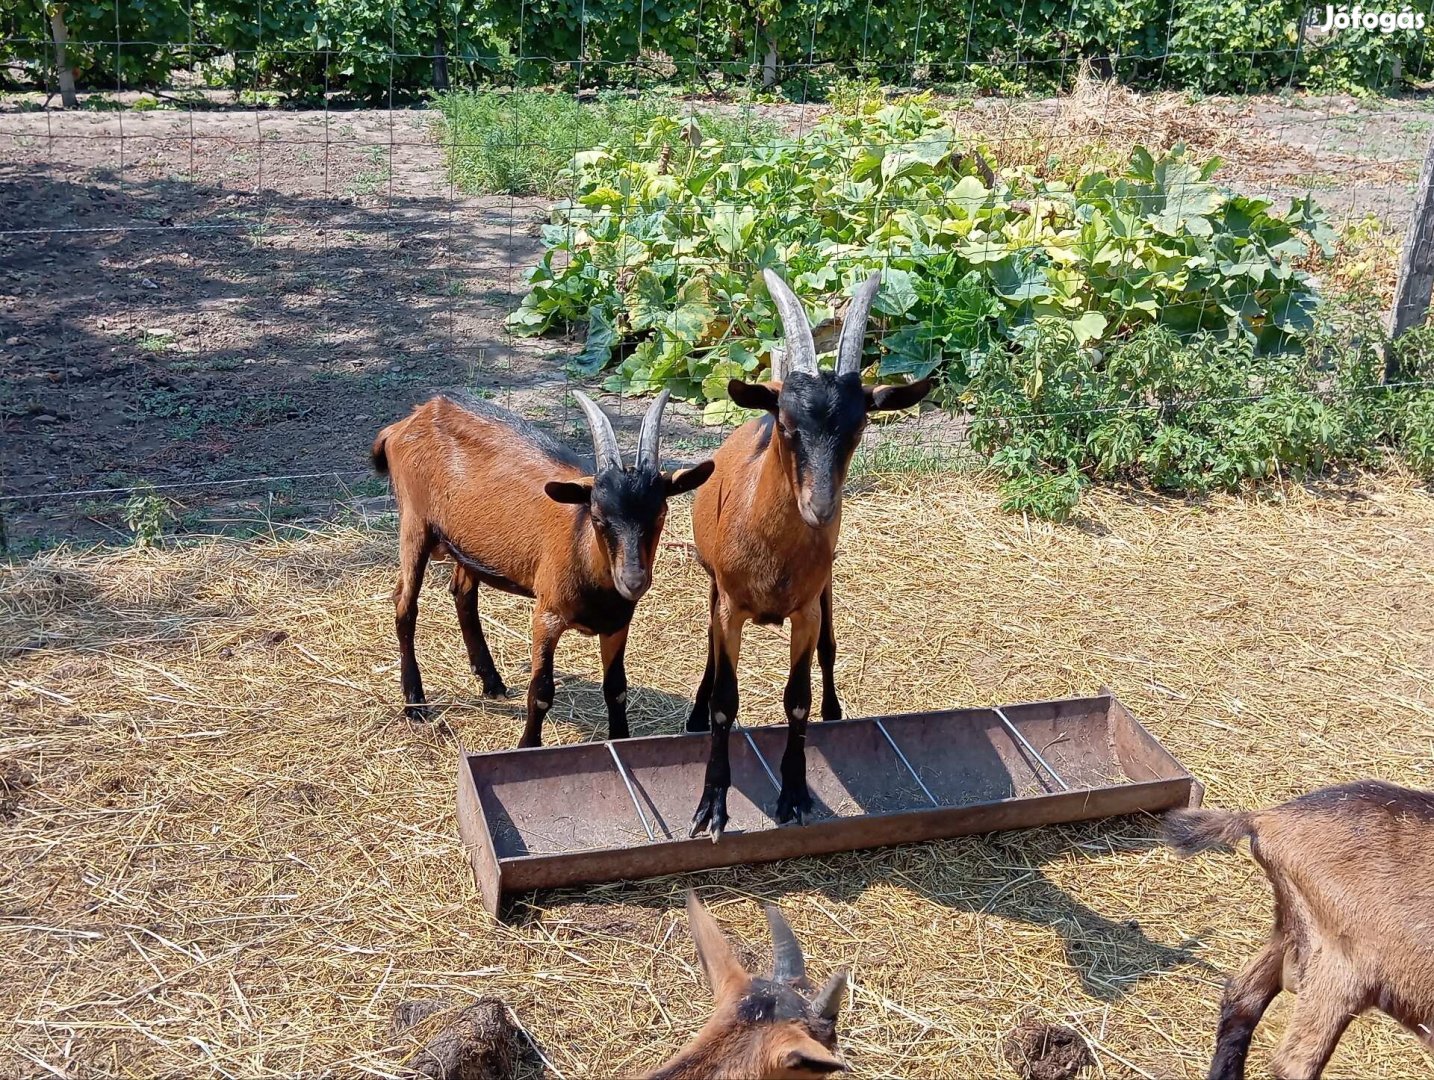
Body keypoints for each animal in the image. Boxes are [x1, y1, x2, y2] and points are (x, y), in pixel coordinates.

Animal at [372, 392, 714, 745]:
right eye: (598, 517)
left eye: (660, 514)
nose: (632, 581)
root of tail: (411, 419)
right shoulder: (546, 615)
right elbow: (541, 691)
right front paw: (528, 745)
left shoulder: (618, 623)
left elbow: (616, 688)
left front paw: (620, 737)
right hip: (415, 523)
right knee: (405, 604)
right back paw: (415, 703)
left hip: (466, 545)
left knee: (463, 593)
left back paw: (491, 681)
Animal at [688, 265, 934, 837]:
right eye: (786, 423)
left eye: (859, 425)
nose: (820, 508)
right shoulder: (730, 606)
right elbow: (724, 702)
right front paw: (712, 808)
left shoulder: (804, 610)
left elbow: (796, 701)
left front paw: (796, 796)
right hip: (713, 586)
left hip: (825, 591)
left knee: (830, 647)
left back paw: (835, 710)